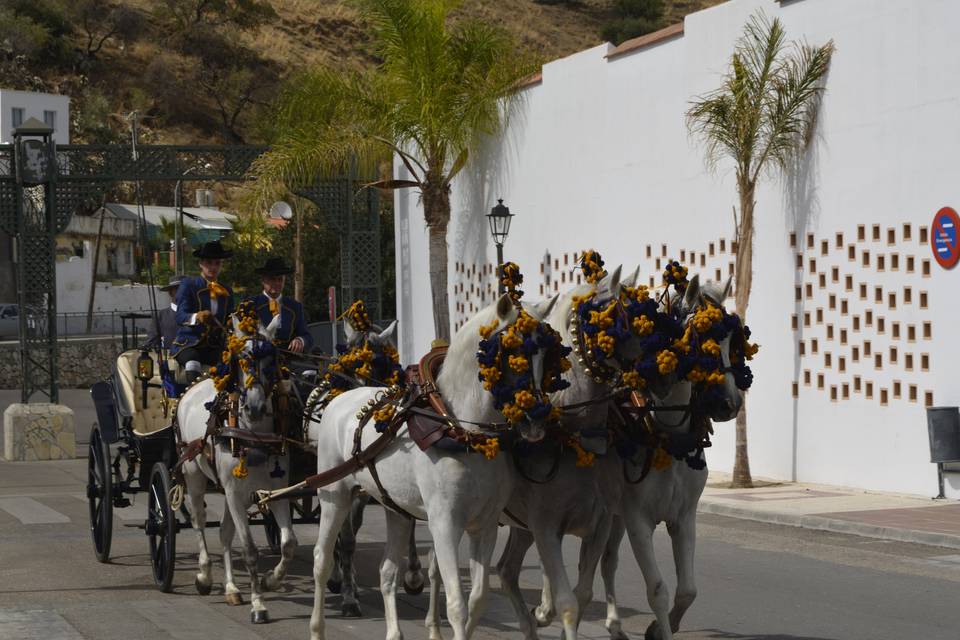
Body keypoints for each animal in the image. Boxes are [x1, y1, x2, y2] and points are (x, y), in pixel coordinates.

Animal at [308, 296, 564, 640]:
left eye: (546, 354)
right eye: (510, 352)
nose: (535, 420)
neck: (462, 430)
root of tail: (339, 397)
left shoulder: (485, 525)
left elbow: (478, 599)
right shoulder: (444, 523)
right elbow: (456, 603)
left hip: (396, 508)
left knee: (387, 571)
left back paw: (394, 631)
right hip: (335, 495)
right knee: (321, 560)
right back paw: (319, 625)